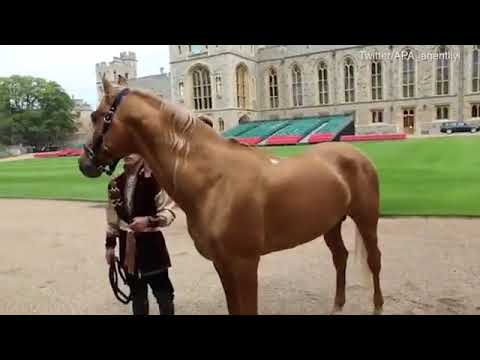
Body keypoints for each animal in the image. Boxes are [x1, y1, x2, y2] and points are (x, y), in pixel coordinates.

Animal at [79, 76, 386, 316]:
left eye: (96, 115)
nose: (84, 163)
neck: (215, 182)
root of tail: (354, 153)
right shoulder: (223, 264)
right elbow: (233, 307)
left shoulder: (245, 264)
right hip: (331, 223)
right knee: (340, 257)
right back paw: (338, 305)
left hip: (366, 220)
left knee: (374, 260)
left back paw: (377, 305)